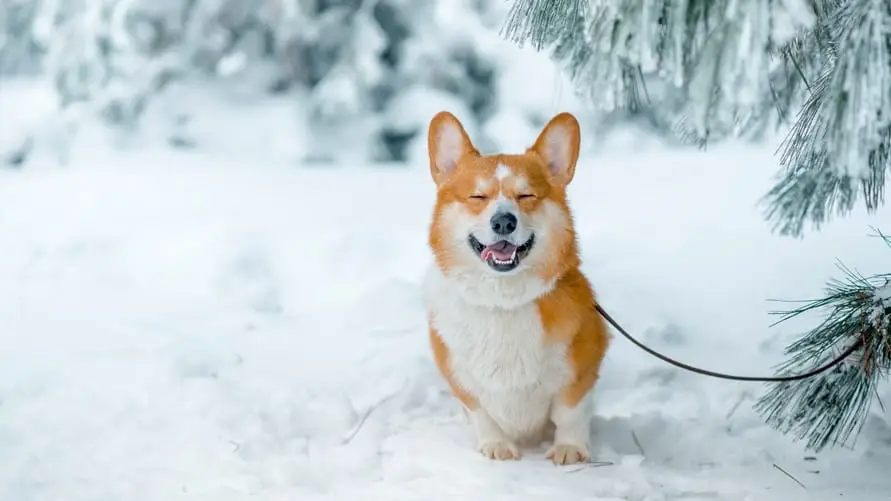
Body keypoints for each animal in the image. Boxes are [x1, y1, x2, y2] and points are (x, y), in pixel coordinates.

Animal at [422, 110, 608, 464]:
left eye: (526, 195)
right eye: (477, 197)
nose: (504, 221)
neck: (503, 301)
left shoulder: (580, 370)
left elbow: (570, 413)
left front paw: (569, 449)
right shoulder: (460, 377)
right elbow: (481, 412)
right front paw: (496, 445)